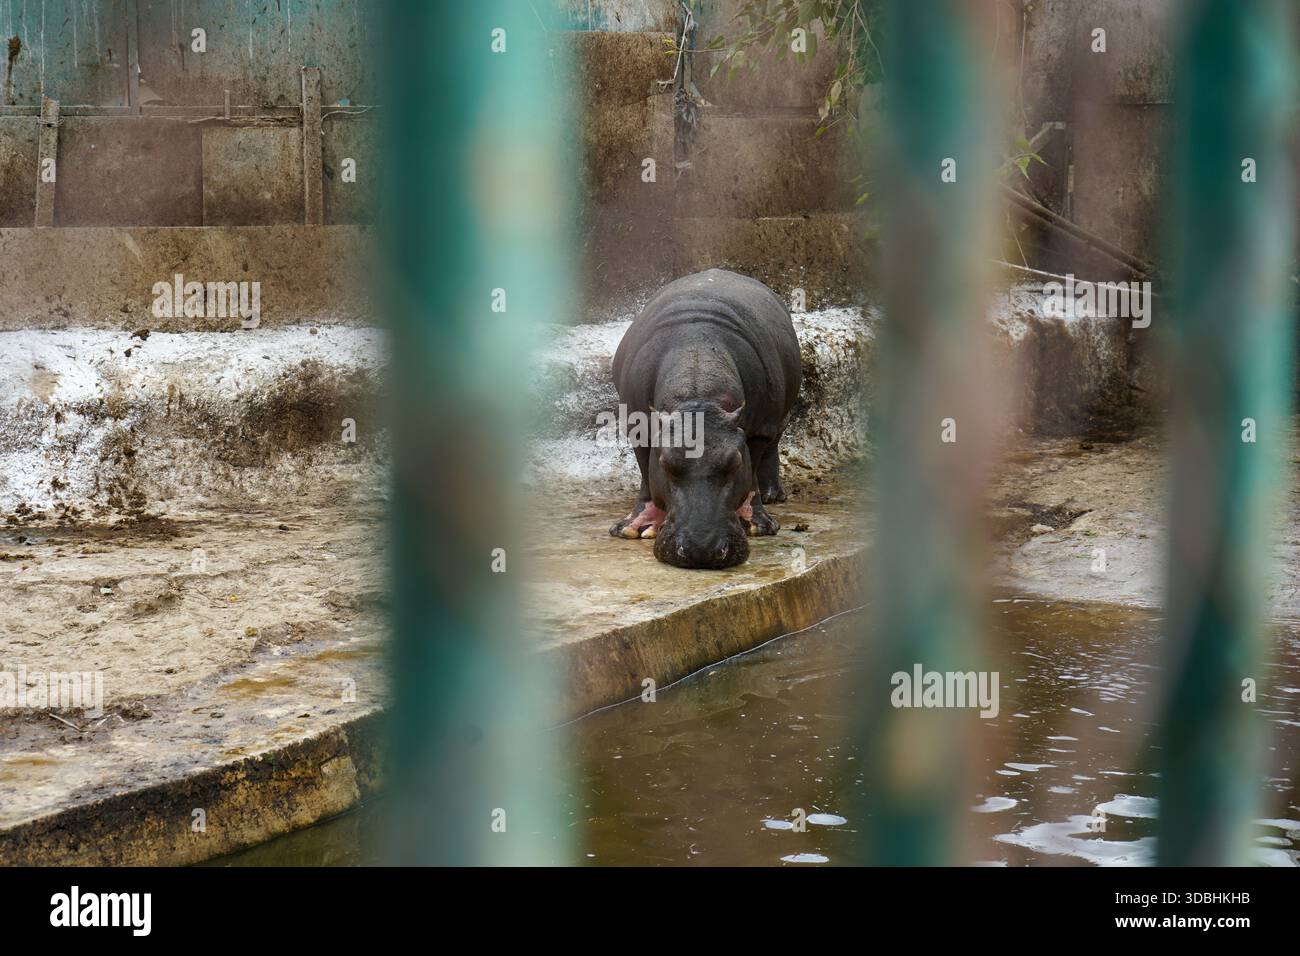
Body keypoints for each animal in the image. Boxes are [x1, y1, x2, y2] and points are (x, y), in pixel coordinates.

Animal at [609, 269, 802, 569]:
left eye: (735, 462)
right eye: (666, 463)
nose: (702, 549)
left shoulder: (758, 429)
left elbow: (752, 473)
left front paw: (759, 526)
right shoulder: (637, 425)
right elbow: (645, 474)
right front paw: (632, 528)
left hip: (777, 416)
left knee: (773, 444)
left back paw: (773, 496)